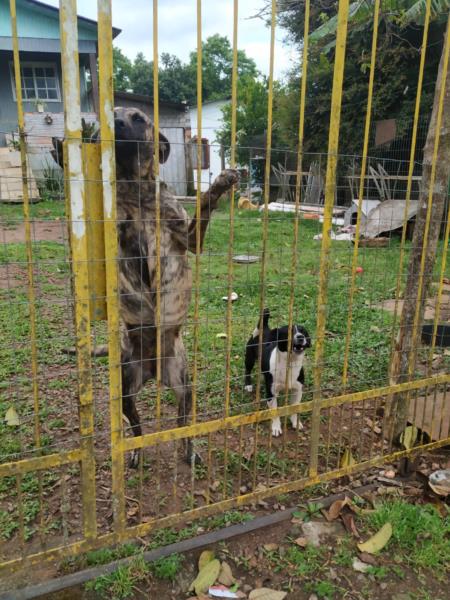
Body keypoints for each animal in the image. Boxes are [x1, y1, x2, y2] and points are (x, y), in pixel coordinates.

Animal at [53, 106, 239, 464]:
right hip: (126, 388)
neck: (134, 188)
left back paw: (188, 450)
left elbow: (204, 204)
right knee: (135, 427)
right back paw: (137, 452)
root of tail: (154, 372)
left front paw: (220, 183)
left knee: (182, 425)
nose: (116, 123)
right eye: (108, 115)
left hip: (185, 385)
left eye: (138, 118)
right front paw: (61, 155)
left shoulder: (189, 238)